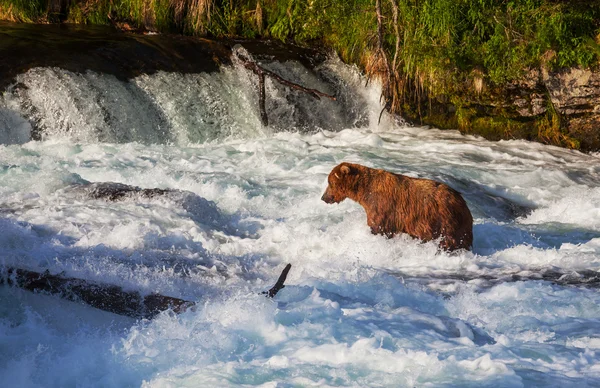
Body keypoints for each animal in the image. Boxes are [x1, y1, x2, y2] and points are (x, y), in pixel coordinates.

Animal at [322, 161, 472, 250]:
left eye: (330, 183)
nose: (324, 197)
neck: (364, 191)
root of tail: (462, 200)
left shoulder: (382, 207)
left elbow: (378, 226)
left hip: (446, 220)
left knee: (449, 240)